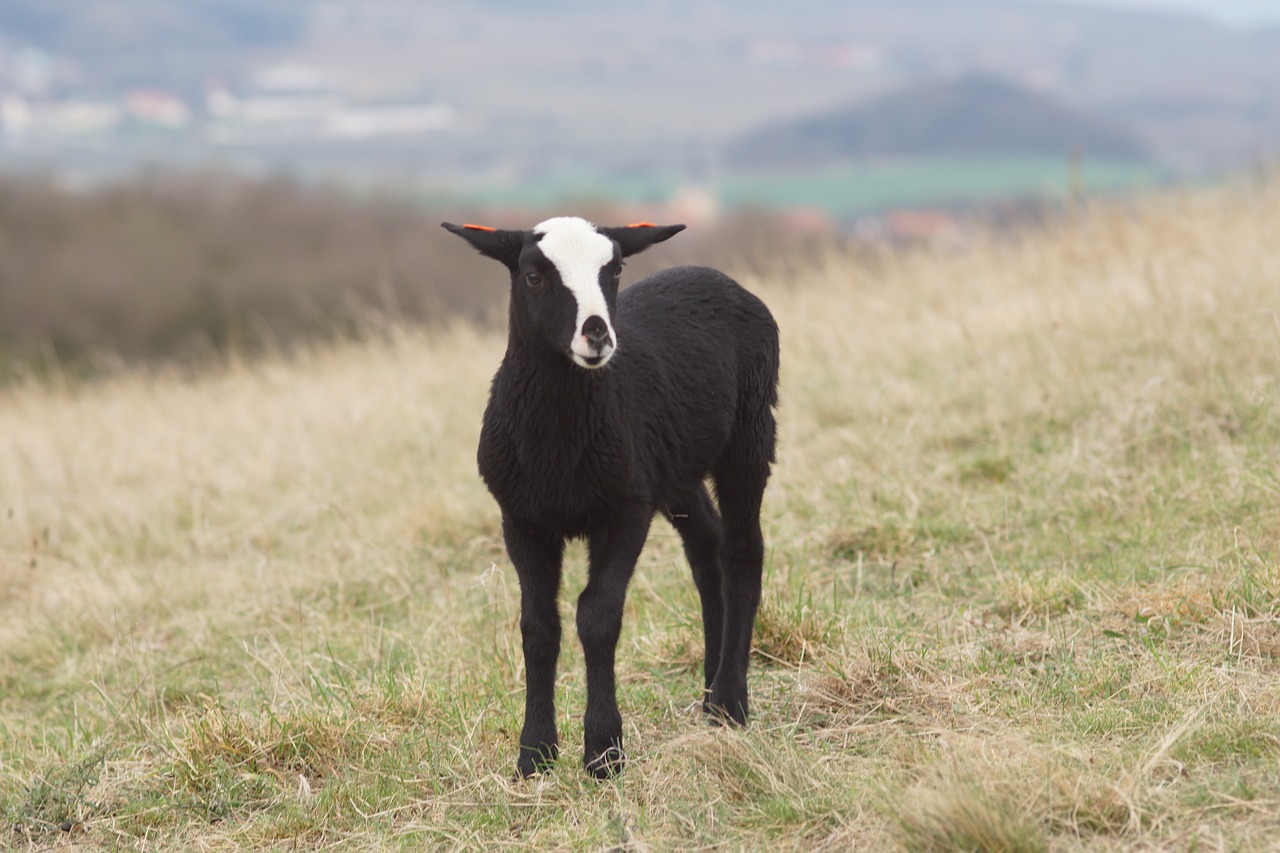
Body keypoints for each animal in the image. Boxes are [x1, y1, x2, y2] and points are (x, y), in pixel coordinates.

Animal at [440, 213, 778, 778]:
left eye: (615, 270)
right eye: (533, 275)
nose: (596, 332)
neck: (556, 442)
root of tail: (715, 276)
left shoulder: (624, 511)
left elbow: (597, 616)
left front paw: (603, 750)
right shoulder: (521, 520)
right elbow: (538, 627)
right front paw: (535, 754)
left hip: (751, 434)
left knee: (742, 553)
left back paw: (731, 701)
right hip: (674, 469)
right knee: (707, 546)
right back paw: (709, 690)